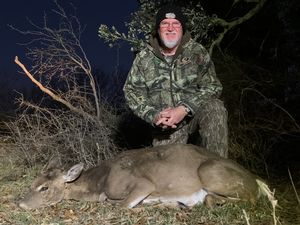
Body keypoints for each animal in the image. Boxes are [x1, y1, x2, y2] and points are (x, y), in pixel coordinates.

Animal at [17, 143, 268, 210]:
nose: (20, 203)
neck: (99, 183)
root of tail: (256, 180)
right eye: (33, 183)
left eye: (45, 188)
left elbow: (120, 205)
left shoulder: (141, 183)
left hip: (210, 172)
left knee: (249, 199)